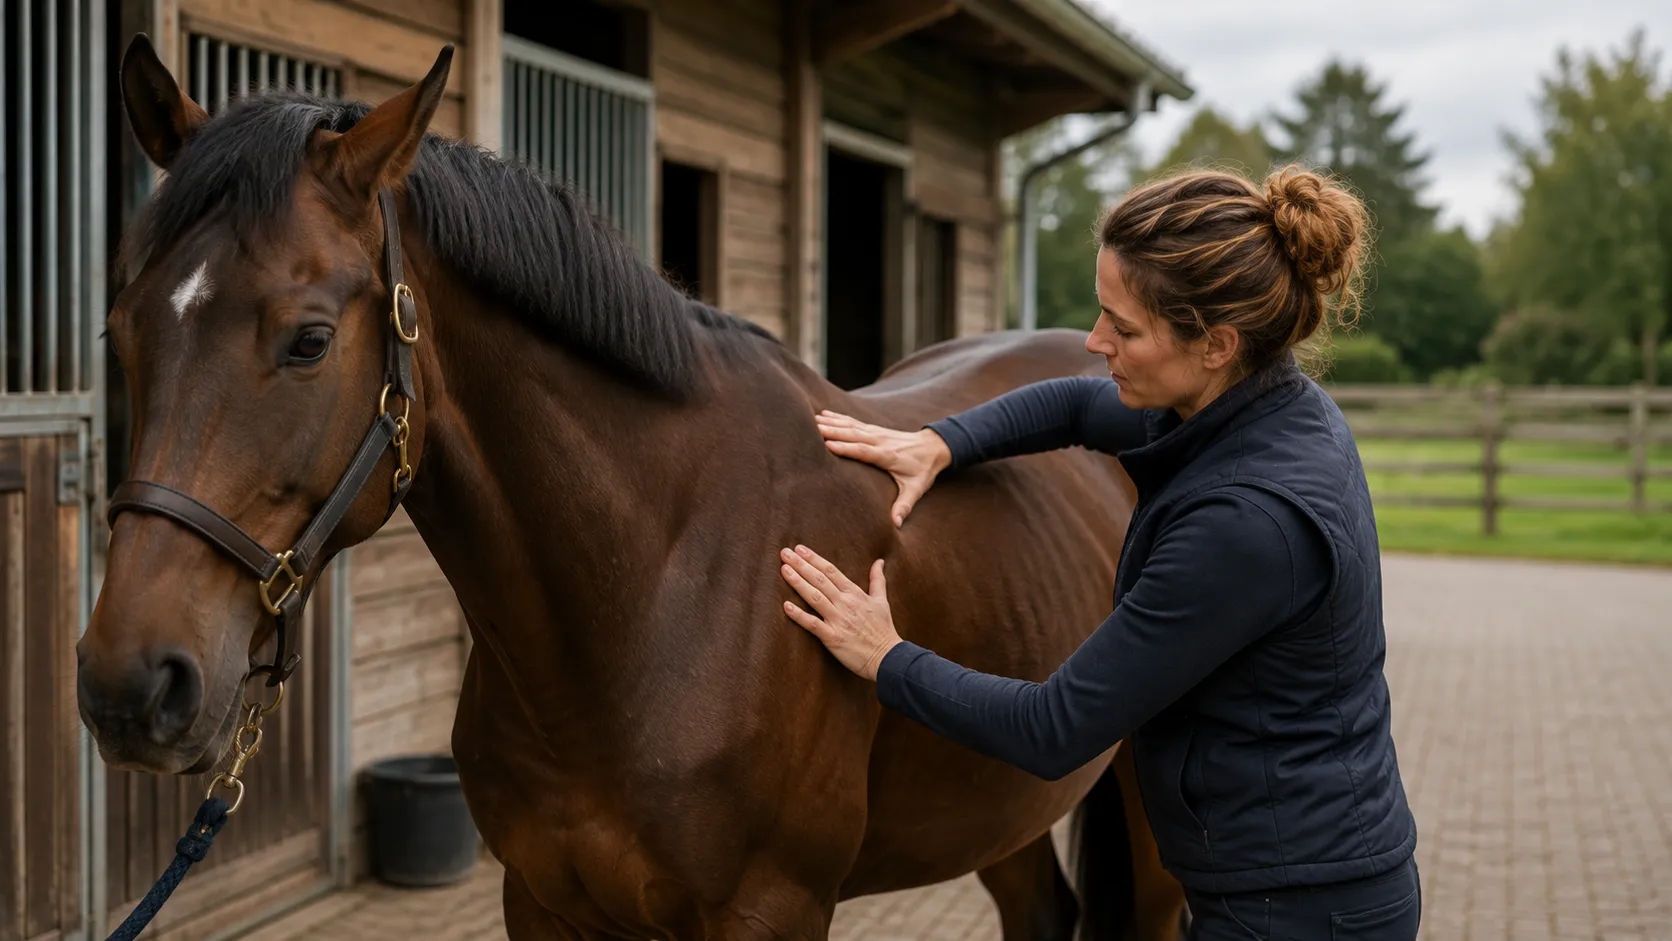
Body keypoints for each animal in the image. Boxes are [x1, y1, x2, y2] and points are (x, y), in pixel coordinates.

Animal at [76, 37, 1187, 940]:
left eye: (307, 340)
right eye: (118, 331)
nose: (130, 684)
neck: (651, 588)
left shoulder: (770, 910)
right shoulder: (541, 898)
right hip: (1001, 800)